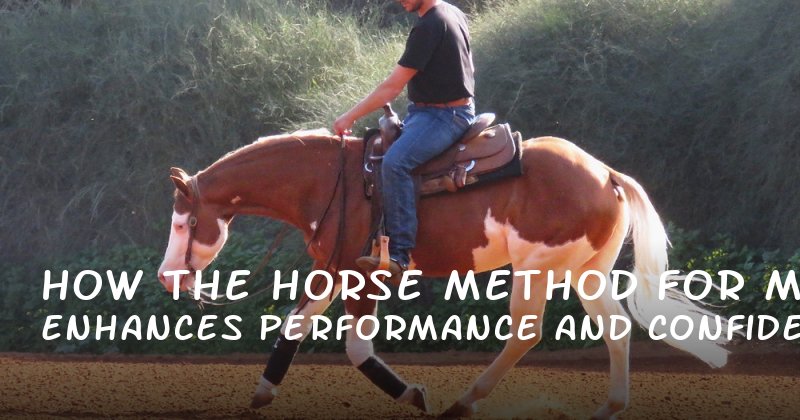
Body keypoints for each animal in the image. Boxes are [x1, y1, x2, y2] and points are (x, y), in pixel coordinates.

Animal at [156, 129, 729, 419]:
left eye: (184, 222)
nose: (166, 277)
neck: (329, 181)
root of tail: (606, 173)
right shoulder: (333, 266)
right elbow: (295, 325)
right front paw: (262, 392)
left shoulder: (362, 275)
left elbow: (358, 348)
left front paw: (413, 394)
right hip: (585, 272)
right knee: (615, 330)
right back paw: (610, 407)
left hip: (536, 270)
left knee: (525, 334)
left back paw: (463, 403)